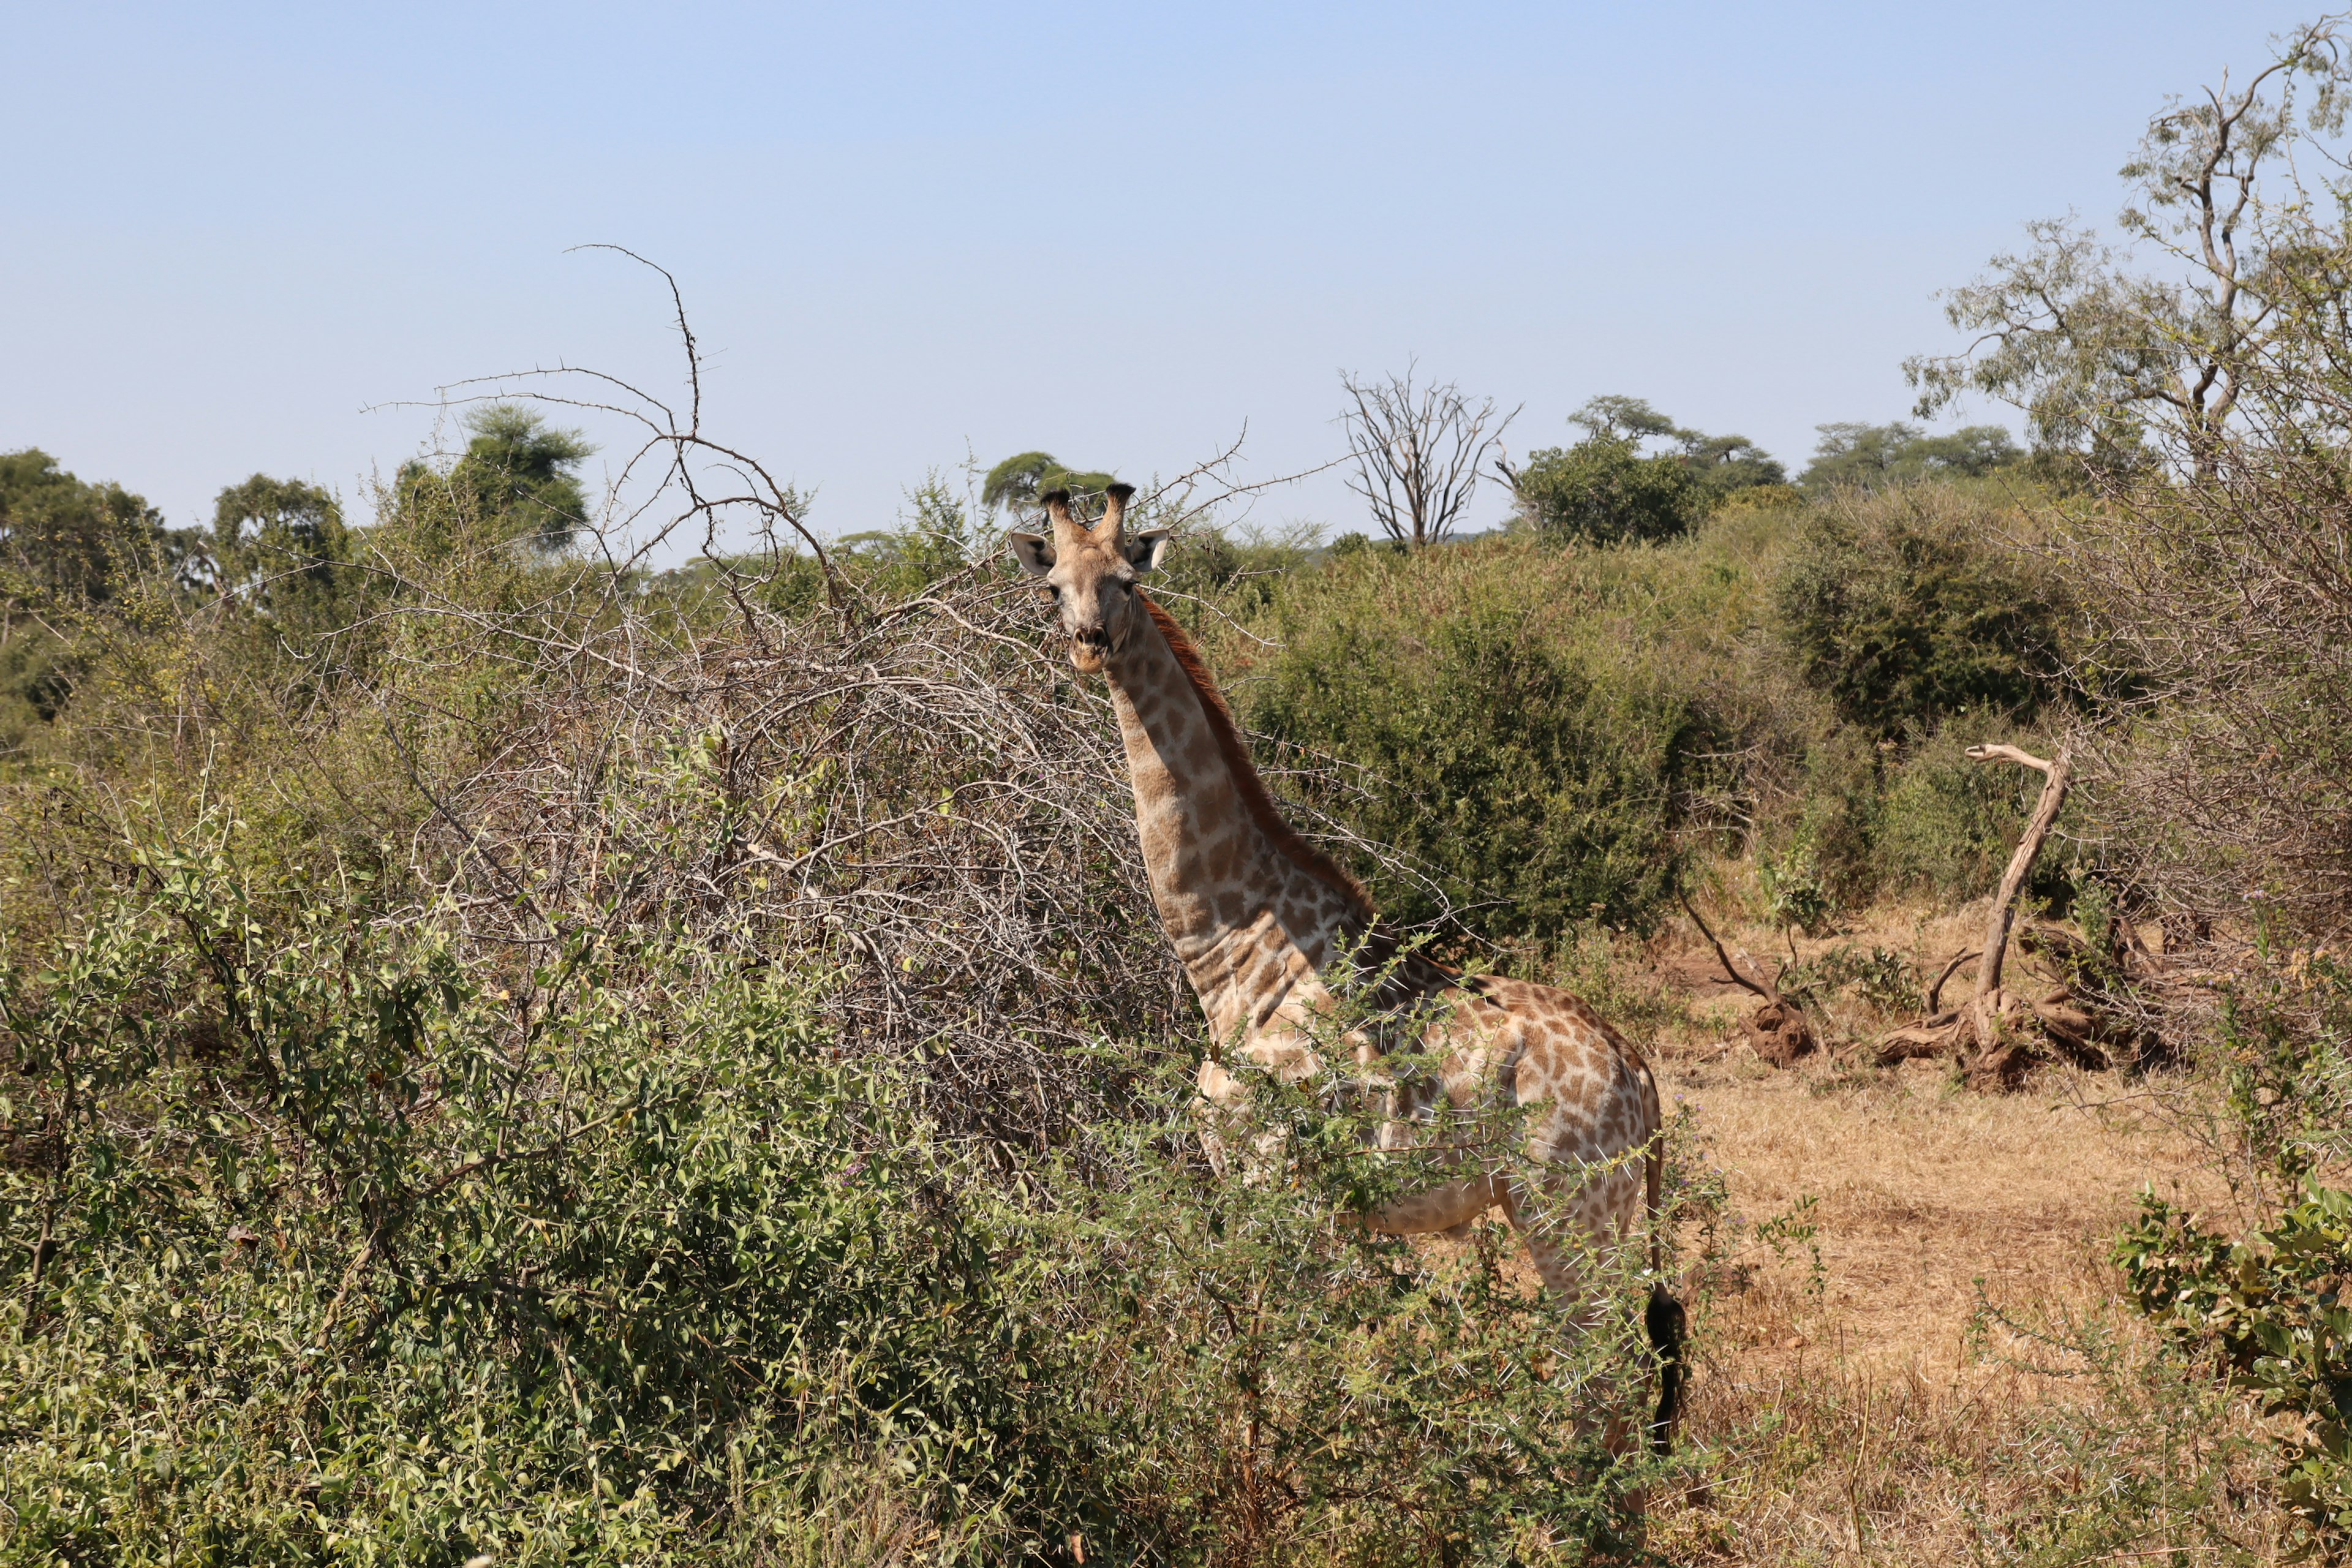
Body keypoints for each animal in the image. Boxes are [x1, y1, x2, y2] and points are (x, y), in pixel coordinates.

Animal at [1001, 484, 1684, 1457]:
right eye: (1054, 586)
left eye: (1128, 581)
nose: (1091, 644)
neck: (1231, 956)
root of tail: (1639, 1070)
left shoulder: (1269, 1173)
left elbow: (1278, 1355)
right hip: (1590, 1206)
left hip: (1565, 1203)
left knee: (1608, 1364)